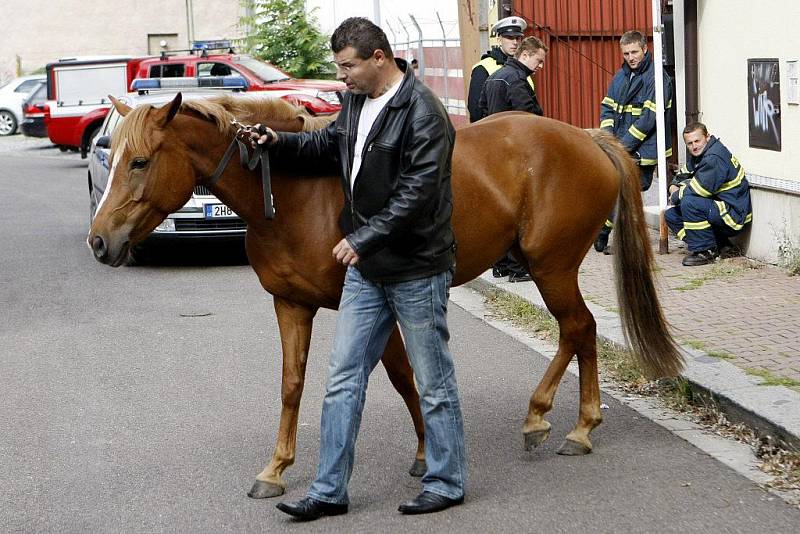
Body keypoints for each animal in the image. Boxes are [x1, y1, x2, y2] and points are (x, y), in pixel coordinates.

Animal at [90, 94, 684, 500]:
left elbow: (403, 376)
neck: (295, 194)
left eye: (140, 161)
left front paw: (426, 455)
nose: (100, 241)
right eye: (112, 157)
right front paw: (276, 468)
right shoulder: (291, 306)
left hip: (551, 266)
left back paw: (564, 424)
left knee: (579, 328)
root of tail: (585, 138)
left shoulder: (375, 302)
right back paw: (565, 421)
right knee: (577, 332)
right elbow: (291, 386)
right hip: (549, 268)